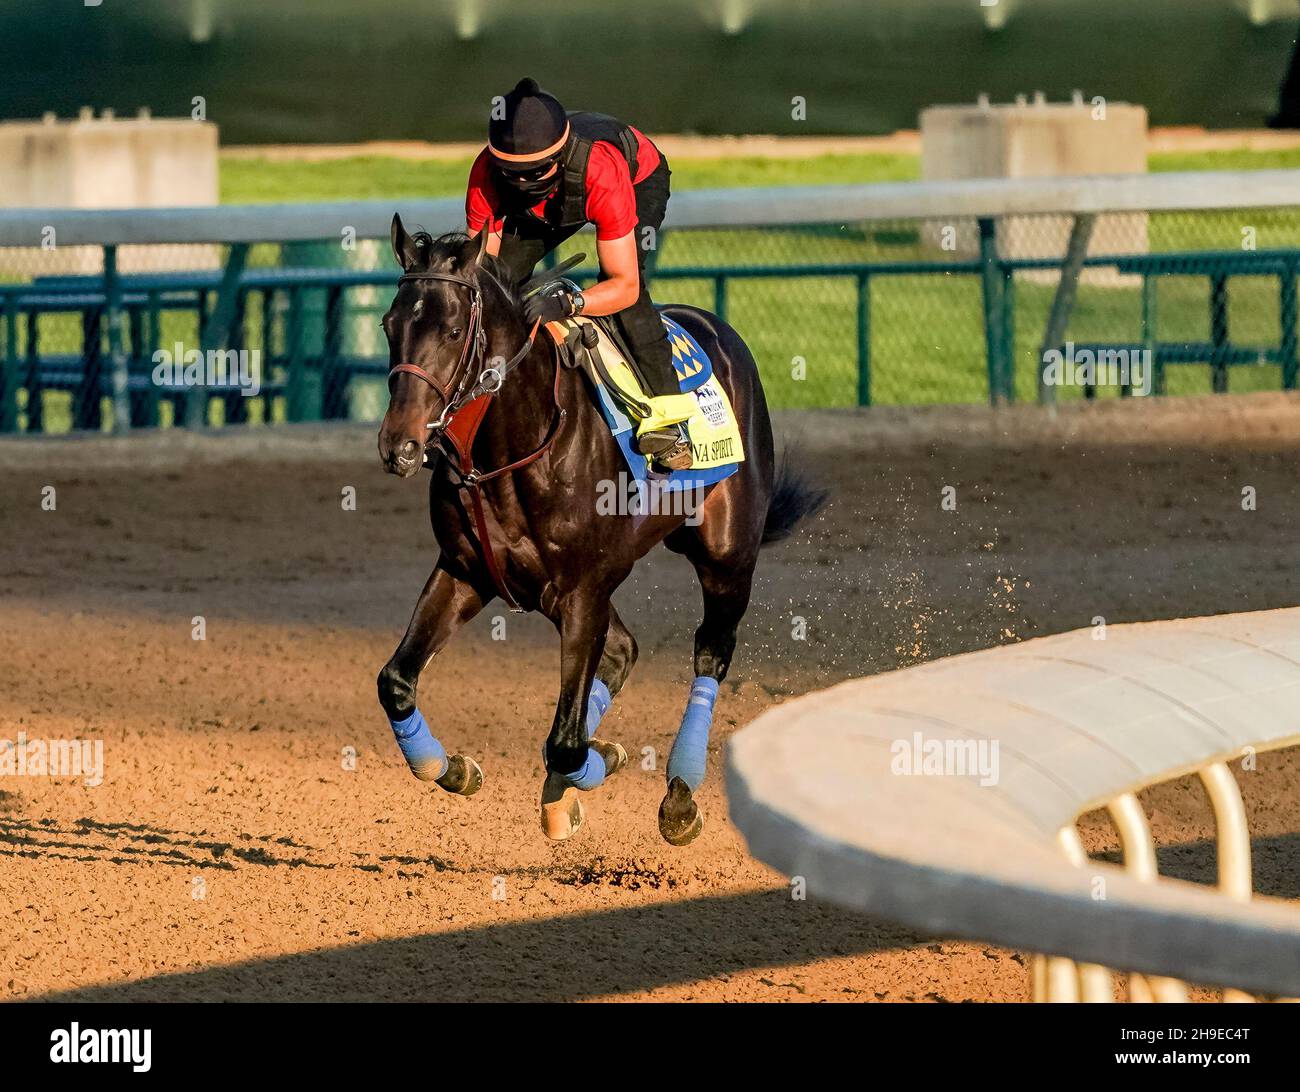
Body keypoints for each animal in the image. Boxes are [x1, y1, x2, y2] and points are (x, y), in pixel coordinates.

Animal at [377, 213, 821, 842]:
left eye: (455, 329)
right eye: (390, 325)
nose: (400, 446)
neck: (516, 446)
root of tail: (716, 327)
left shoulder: (582, 590)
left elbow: (564, 742)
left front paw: (594, 760)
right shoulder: (468, 572)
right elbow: (396, 683)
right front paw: (456, 768)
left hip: (727, 555)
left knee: (711, 651)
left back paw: (679, 795)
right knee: (623, 649)